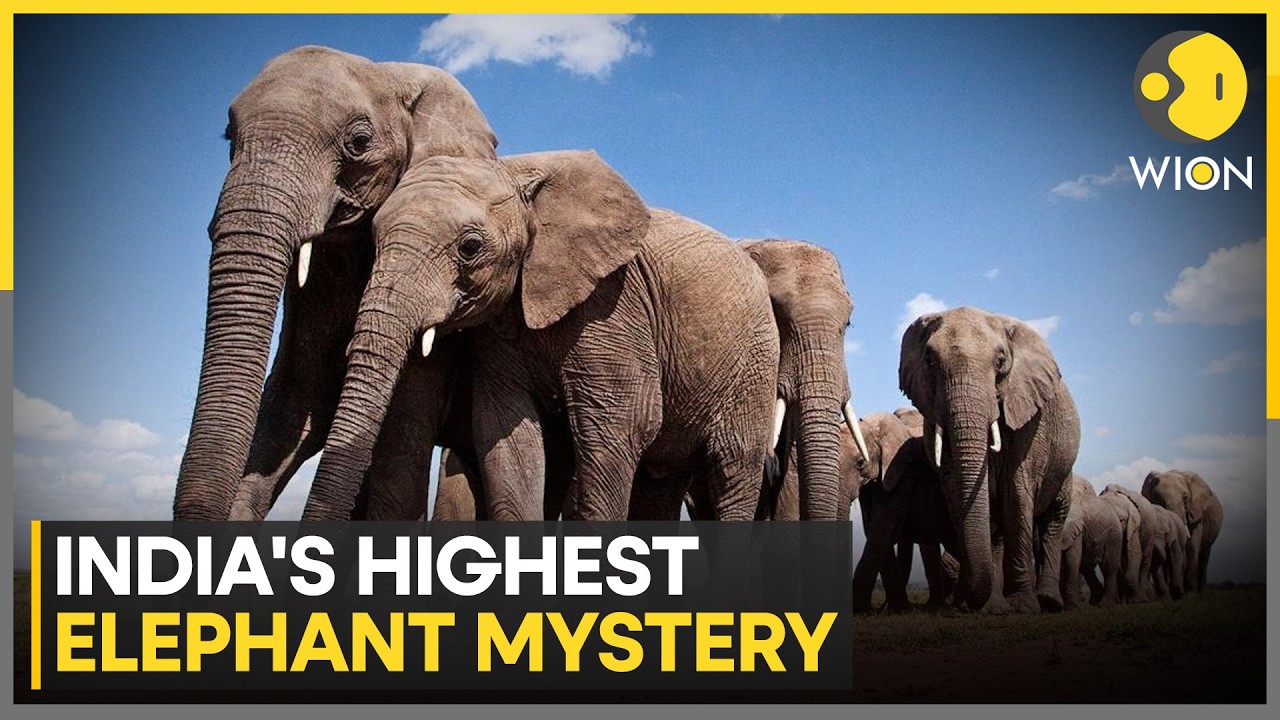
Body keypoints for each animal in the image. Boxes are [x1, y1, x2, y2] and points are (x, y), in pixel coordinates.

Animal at [300, 149, 780, 522]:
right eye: (374, 242)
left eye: (469, 248)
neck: (514, 175)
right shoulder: (500, 331)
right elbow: (506, 434)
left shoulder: (613, 305)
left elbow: (620, 427)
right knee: (661, 479)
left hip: (754, 362)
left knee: (732, 469)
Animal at [899, 307, 1080, 613]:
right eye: (930, 362)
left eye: (1001, 362)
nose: (961, 605)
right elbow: (957, 496)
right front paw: (979, 607)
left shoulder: (1031, 421)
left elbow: (1016, 494)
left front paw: (1022, 606)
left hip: (1065, 465)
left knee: (1053, 519)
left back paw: (1048, 602)